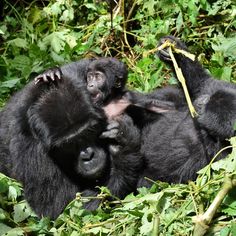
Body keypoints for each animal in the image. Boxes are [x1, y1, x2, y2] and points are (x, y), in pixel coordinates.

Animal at [0, 57, 142, 219]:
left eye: (89, 131)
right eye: (68, 144)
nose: (88, 156)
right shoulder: (28, 147)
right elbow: (63, 211)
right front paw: (125, 146)